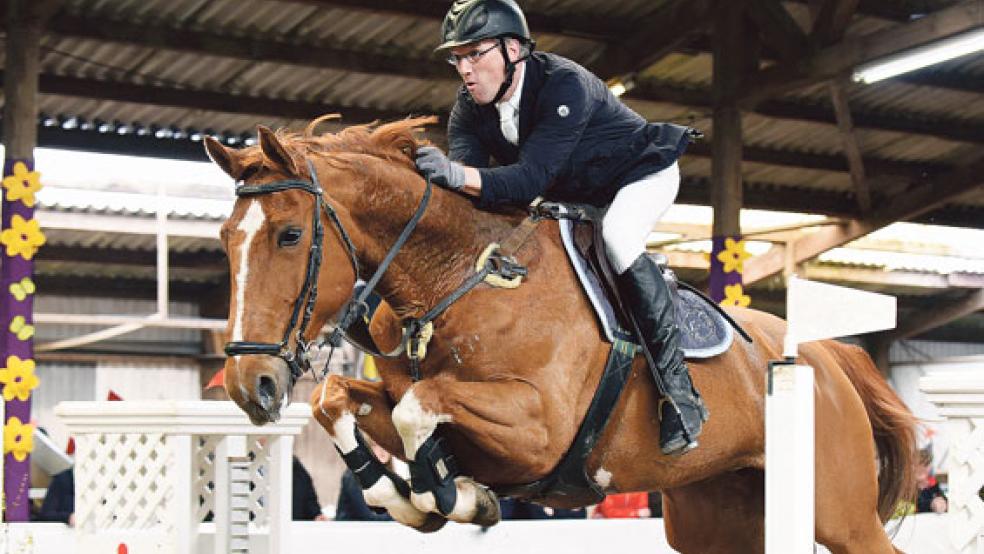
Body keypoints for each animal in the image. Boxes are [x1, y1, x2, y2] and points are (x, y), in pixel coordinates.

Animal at [204, 117, 920, 552]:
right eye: (225, 238)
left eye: (289, 235)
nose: (248, 385)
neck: (457, 276)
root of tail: (827, 357)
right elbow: (342, 403)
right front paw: (415, 495)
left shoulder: (538, 427)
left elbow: (418, 409)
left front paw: (450, 494)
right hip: (716, 513)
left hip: (840, 513)